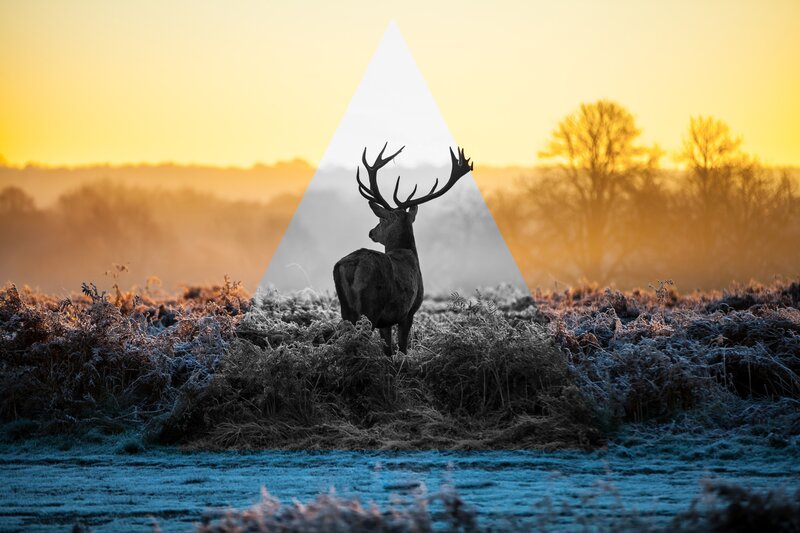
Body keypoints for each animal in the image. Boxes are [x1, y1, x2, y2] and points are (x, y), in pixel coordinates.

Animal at [333, 143, 473, 355]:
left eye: (381, 219)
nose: (371, 232)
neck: (407, 252)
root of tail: (352, 265)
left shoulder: (387, 321)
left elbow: (388, 350)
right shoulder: (409, 311)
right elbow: (403, 348)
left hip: (346, 309)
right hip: (371, 307)